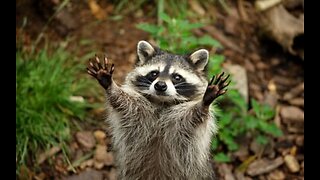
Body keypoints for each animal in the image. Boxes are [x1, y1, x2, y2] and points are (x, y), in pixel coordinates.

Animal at [86, 40, 229, 180]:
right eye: (154, 73)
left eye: (177, 77)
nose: (160, 85)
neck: (162, 102)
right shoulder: (138, 110)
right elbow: (123, 103)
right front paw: (111, 87)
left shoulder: (183, 122)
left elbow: (194, 116)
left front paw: (204, 102)